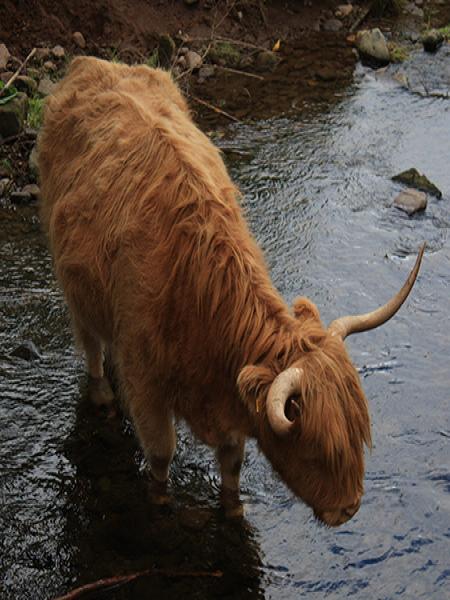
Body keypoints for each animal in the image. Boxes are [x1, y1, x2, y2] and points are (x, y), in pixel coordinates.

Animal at [37, 56, 422, 524]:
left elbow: (233, 465)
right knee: (90, 342)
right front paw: (160, 504)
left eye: (358, 435)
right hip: (71, 280)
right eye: (316, 449)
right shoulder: (147, 387)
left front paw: (233, 509)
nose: (348, 509)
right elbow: (161, 455)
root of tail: (94, 65)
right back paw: (102, 392)